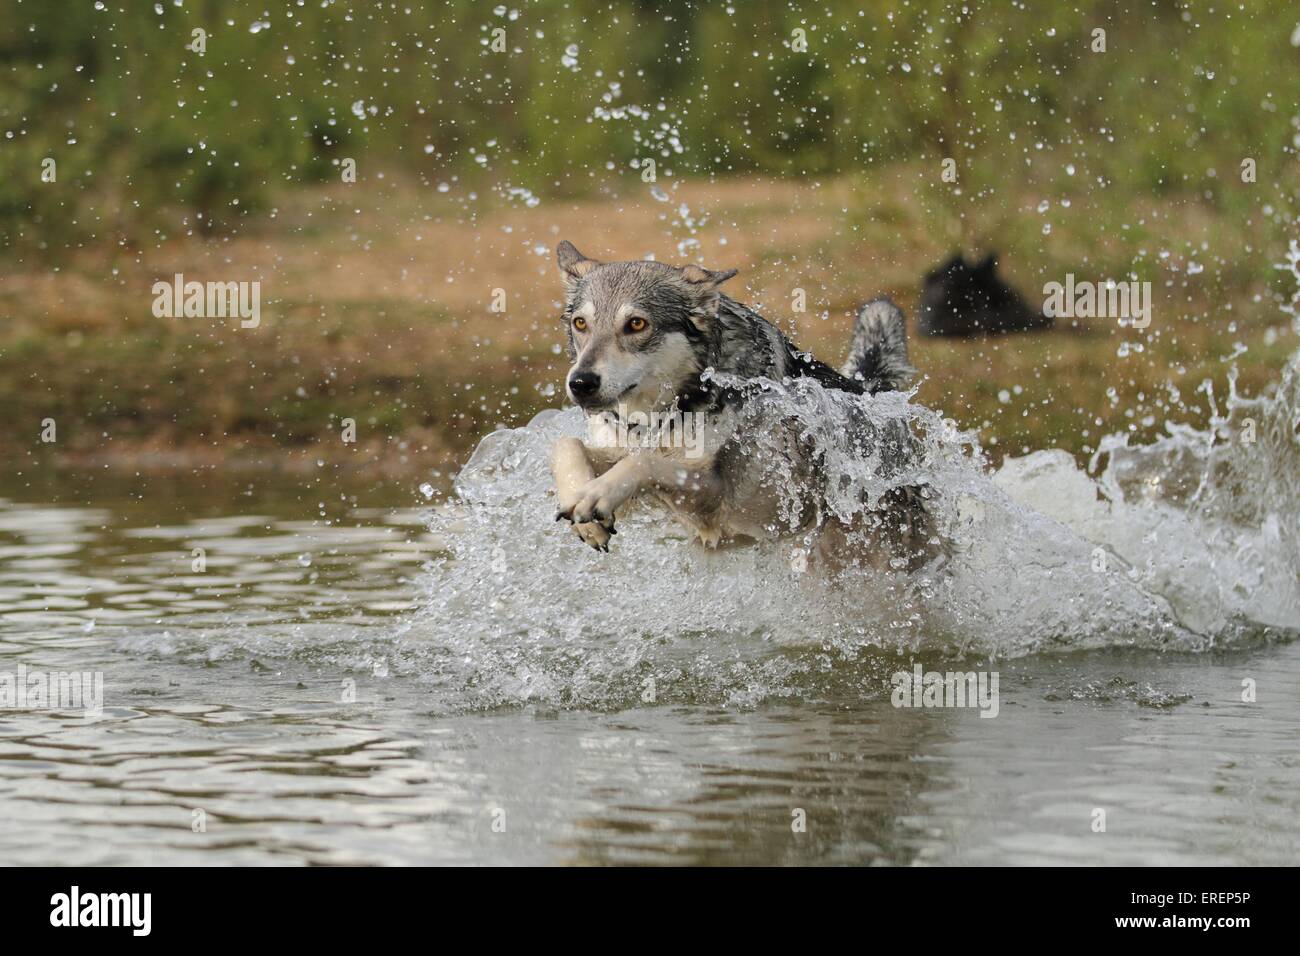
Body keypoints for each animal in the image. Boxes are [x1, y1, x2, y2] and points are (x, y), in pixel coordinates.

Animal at [548, 240, 935, 567]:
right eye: (581, 323)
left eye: (636, 324)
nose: (580, 383)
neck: (669, 414)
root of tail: (870, 393)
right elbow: (566, 445)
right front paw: (582, 506)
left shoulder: (721, 503)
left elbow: (645, 462)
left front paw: (596, 493)